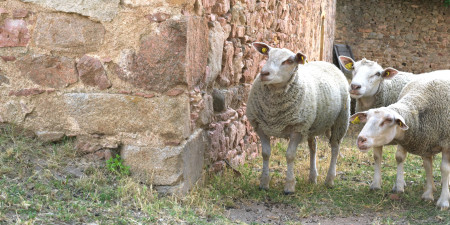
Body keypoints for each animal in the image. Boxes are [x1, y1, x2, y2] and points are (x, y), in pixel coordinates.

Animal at [248, 42, 350, 193]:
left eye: (289, 61)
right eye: (267, 56)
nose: (264, 73)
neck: (274, 111)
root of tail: (327, 63)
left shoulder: (297, 128)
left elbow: (290, 156)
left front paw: (289, 186)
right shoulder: (260, 126)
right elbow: (265, 153)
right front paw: (264, 183)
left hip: (340, 120)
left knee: (335, 147)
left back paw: (329, 180)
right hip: (312, 125)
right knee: (313, 147)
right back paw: (312, 177)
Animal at [342, 55, 450, 192]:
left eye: (378, 74)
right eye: (353, 68)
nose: (355, 86)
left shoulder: (404, 133)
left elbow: (399, 157)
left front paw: (398, 185)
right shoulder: (376, 136)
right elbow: (377, 157)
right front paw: (376, 184)